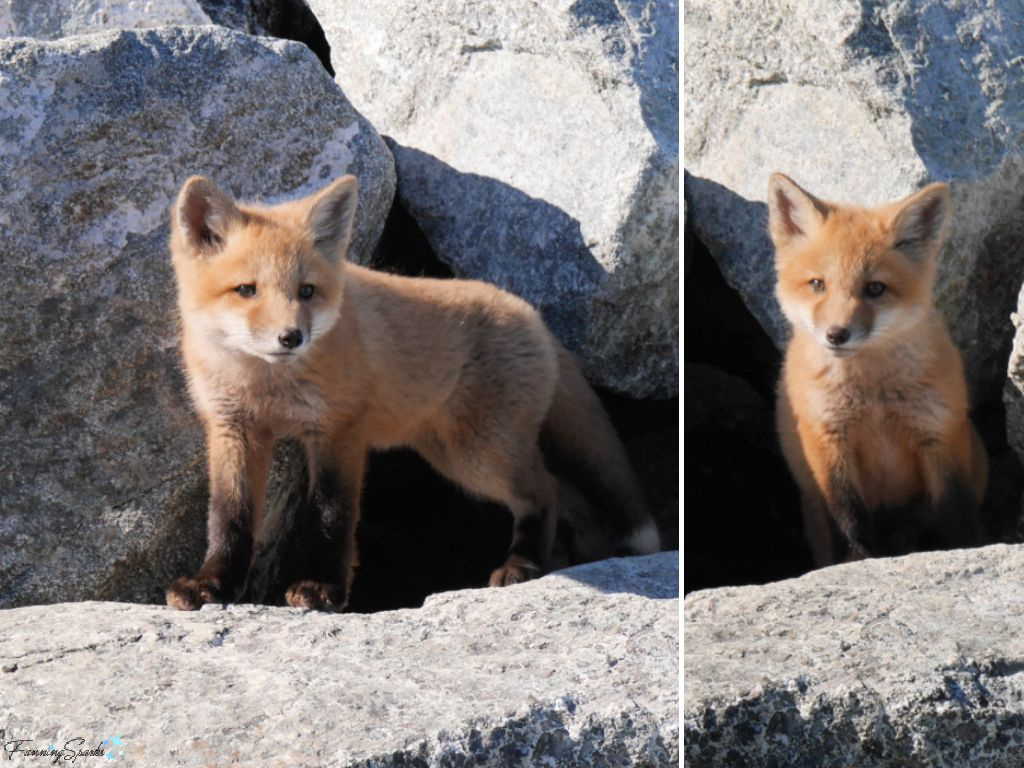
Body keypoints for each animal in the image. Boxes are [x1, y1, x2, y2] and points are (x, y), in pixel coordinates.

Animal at [165, 174, 660, 611]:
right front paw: (212, 584)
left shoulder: (341, 429)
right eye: (246, 290)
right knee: (570, 500)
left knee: (545, 493)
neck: (266, 384)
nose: (291, 337)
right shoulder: (233, 429)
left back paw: (524, 564)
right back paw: (571, 561)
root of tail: (530, 312)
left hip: (479, 457)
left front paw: (323, 588)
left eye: (306, 291)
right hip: (451, 455)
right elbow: (229, 517)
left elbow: (331, 514)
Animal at [767, 173, 987, 567]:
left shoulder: (939, 433)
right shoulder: (828, 442)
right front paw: (859, 560)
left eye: (874, 288)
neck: (874, 399)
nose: (836, 334)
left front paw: (966, 551)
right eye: (818, 284)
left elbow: (955, 512)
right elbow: (848, 516)